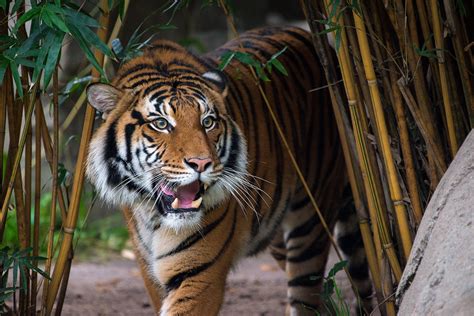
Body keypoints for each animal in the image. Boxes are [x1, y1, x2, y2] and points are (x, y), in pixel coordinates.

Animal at [86, 25, 374, 314]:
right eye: (161, 123)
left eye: (208, 121)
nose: (201, 163)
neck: (154, 214)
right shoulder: (150, 272)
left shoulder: (199, 271)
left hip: (311, 221)